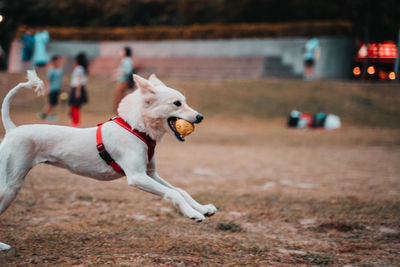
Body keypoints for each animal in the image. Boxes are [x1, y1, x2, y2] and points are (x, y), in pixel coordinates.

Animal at [0, 70, 216, 251]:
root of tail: (12, 129)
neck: (136, 127)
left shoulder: (150, 173)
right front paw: (193, 214)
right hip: (10, 186)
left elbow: (181, 190)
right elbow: (173, 193)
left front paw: (203, 208)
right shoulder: (137, 177)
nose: (200, 117)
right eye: (177, 103)